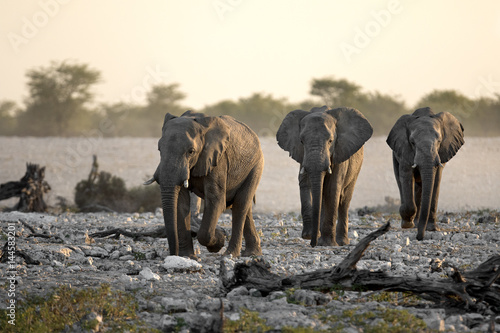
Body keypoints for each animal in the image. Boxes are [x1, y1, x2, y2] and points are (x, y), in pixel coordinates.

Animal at [144, 110, 264, 258]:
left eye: (191, 151)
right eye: (159, 149)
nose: (173, 254)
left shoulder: (218, 159)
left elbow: (216, 201)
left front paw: (219, 240)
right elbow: (181, 203)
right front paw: (188, 256)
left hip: (256, 166)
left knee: (240, 205)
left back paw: (230, 254)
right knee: (244, 207)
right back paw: (252, 254)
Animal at [276, 105, 374, 245]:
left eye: (330, 141)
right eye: (301, 141)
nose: (312, 243)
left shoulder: (340, 154)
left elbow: (332, 188)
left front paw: (327, 244)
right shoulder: (302, 156)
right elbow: (306, 185)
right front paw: (308, 235)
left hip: (357, 167)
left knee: (344, 200)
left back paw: (342, 242)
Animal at [386, 106, 464, 239]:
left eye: (439, 141)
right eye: (412, 142)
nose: (419, 237)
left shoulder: (441, 154)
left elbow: (436, 181)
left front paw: (432, 228)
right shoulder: (405, 150)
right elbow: (406, 176)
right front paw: (407, 224)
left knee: (420, 187)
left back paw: (417, 223)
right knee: (401, 182)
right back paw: (410, 223)